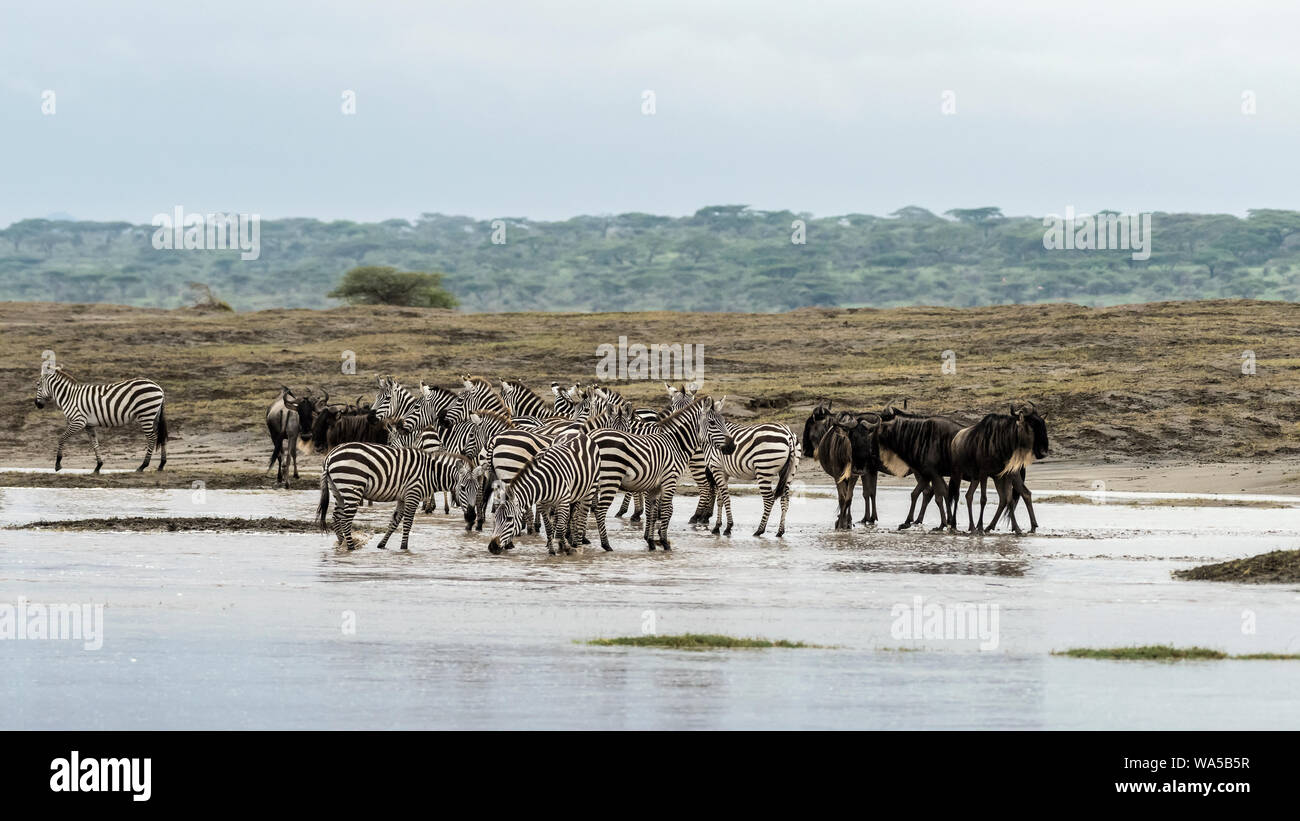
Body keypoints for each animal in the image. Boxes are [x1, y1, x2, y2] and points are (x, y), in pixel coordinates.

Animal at [34, 366, 169, 475]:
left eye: (38, 384)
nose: (37, 404)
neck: (69, 397)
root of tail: (159, 387)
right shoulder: (88, 425)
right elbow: (95, 444)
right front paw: (98, 466)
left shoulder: (78, 421)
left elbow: (62, 438)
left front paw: (57, 464)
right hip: (154, 415)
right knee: (161, 437)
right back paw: (161, 465)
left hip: (145, 414)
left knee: (152, 438)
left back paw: (143, 466)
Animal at [315, 441, 483, 550]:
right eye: (462, 488)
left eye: (477, 489)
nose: (471, 516)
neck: (430, 473)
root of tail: (330, 455)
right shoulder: (413, 494)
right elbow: (407, 523)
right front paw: (404, 548)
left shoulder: (403, 497)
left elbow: (394, 522)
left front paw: (381, 545)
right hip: (352, 487)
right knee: (345, 520)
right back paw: (350, 547)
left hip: (338, 490)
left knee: (336, 517)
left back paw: (341, 543)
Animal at [488, 428, 600, 558]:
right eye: (496, 518)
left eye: (509, 519)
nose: (492, 547)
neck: (545, 480)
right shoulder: (543, 504)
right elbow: (549, 528)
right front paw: (553, 550)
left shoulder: (563, 501)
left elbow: (560, 528)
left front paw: (566, 547)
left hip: (589, 489)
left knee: (581, 517)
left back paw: (579, 547)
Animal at [590, 394, 722, 550]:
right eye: (611, 426)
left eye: (627, 427)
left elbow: (651, 506)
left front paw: (650, 533)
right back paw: (705, 517)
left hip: (698, 463)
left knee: (705, 486)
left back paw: (698, 517)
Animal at [702, 397, 800, 537]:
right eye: (713, 422)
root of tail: (788, 434)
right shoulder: (723, 472)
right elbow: (720, 499)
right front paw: (717, 527)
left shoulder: (716, 468)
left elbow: (725, 497)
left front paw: (727, 527)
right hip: (789, 472)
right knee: (785, 500)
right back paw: (780, 531)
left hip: (764, 469)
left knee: (769, 499)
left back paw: (759, 530)